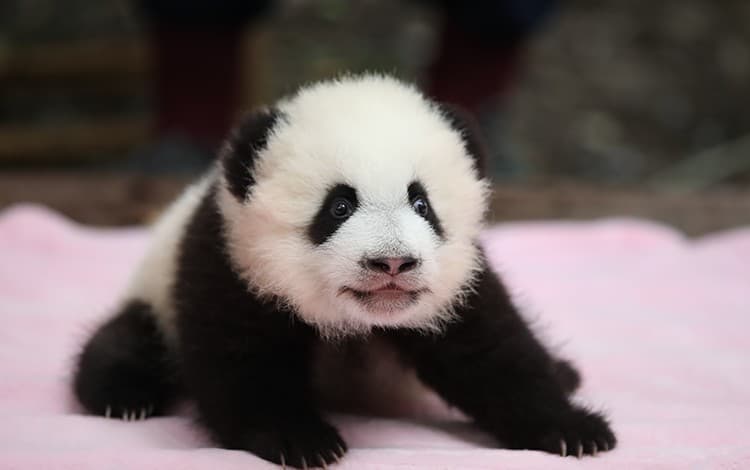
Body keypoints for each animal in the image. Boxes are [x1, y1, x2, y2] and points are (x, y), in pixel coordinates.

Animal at [73, 74, 616, 468]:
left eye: (421, 203)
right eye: (338, 207)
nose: (392, 262)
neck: (360, 320)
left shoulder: (456, 282)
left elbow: (494, 352)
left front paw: (574, 430)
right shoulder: (229, 260)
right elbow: (242, 358)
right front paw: (302, 439)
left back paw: (567, 372)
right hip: (155, 295)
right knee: (128, 340)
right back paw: (123, 396)